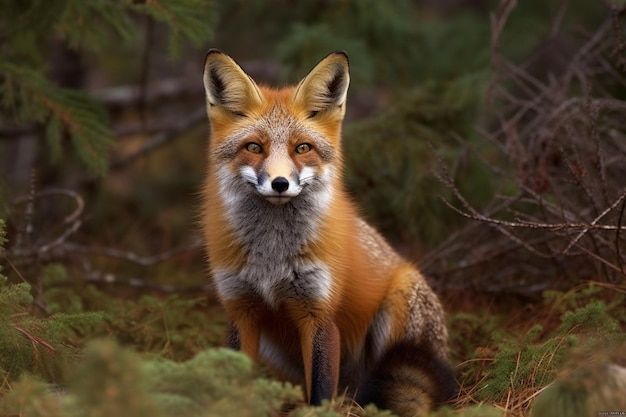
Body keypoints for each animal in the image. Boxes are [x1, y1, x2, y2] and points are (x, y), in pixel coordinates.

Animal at [200, 49, 454, 416]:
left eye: (302, 148)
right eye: (255, 147)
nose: (280, 183)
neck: (271, 257)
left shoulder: (318, 312)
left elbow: (320, 390)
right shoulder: (240, 308)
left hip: (398, 306)